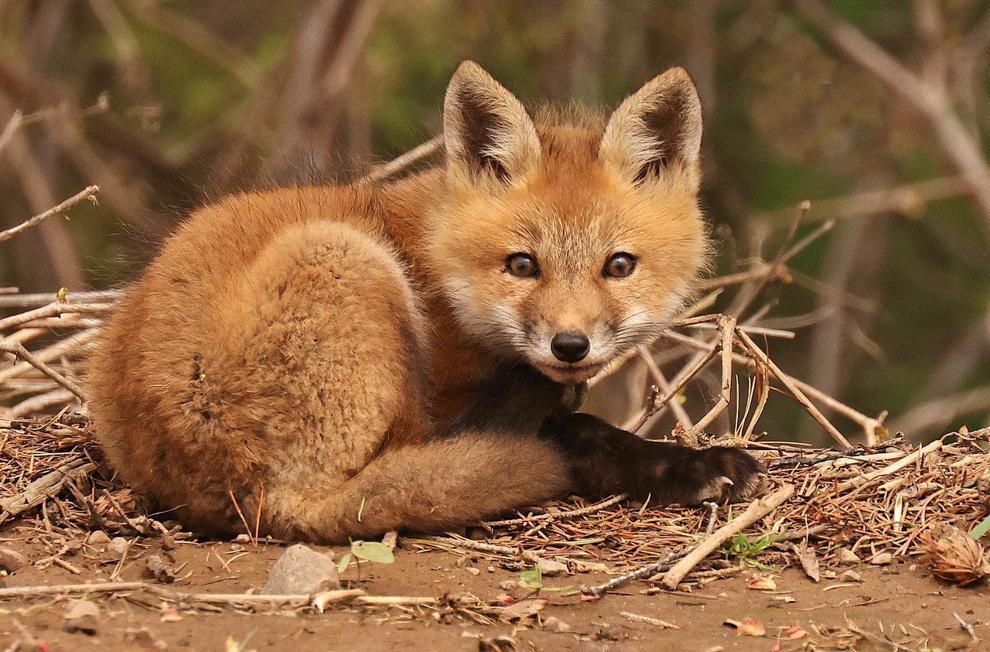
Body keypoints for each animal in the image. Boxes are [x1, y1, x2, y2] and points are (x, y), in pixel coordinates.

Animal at [88, 61, 765, 542]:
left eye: (618, 265)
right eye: (522, 265)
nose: (569, 346)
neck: (440, 273)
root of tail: (253, 502)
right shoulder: (451, 398)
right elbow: (581, 429)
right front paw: (682, 467)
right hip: (344, 260)